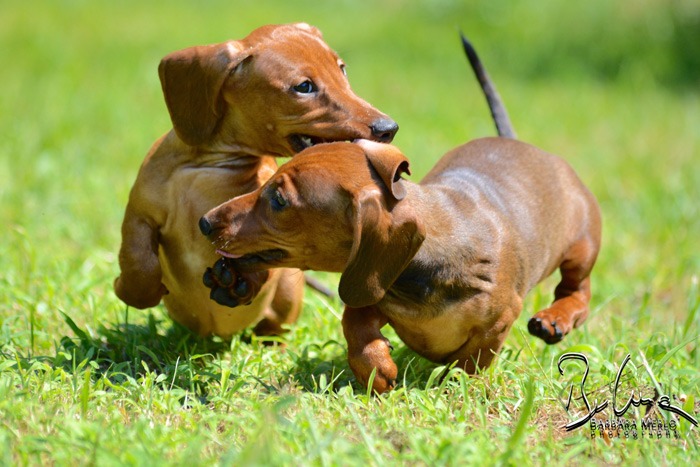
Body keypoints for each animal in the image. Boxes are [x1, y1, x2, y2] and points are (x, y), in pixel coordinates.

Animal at [114, 23, 398, 339]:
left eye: (342, 70)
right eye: (304, 87)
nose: (389, 128)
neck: (212, 167)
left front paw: (237, 283)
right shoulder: (140, 213)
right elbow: (138, 261)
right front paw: (130, 290)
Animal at [198, 38, 601, 393]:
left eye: (280, 200)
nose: (205, 222)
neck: (424, 265)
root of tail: (516, 141)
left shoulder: (500, 319)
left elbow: (473, 359)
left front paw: (455, 384)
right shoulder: (369, 295)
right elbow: (354, 324)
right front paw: (377, 369)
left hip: (582, 245)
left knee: (578, 291)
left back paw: (554, 319)